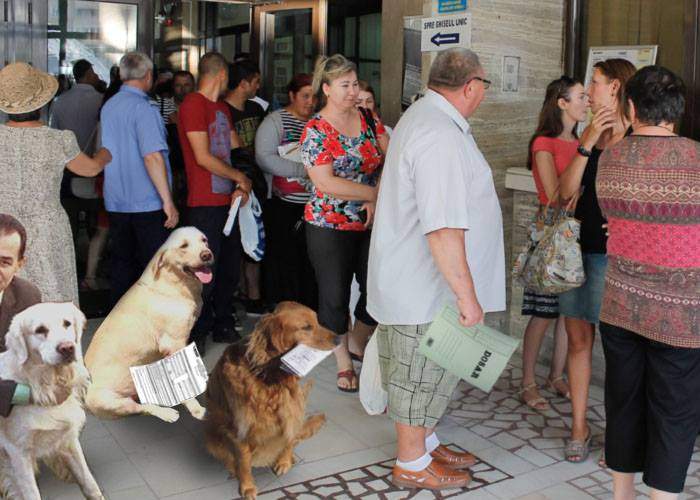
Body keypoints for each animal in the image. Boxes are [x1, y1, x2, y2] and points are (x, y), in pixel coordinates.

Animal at [0, 300, 104, 500]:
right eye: (40, 330)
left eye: (67, 323)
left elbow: (90, 483)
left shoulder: (68, 440)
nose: (67, 348)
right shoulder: (18, 453)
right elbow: (31, 493)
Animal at [85, 229, 212, 424]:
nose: (207, 254)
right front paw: (196, 408)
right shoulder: (174, 344)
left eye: (204, 240)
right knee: (141, 408)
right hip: (107, 400)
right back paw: (167, 413)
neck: (173, 284)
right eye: (183, 246)